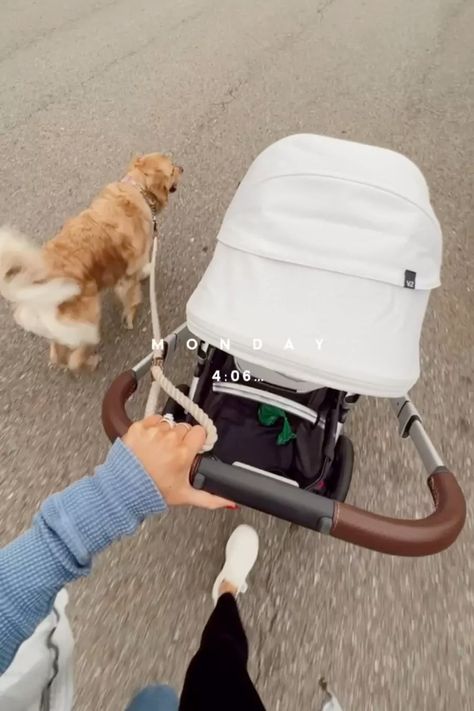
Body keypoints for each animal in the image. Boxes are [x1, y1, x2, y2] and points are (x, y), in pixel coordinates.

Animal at [0, 154, 182, 372]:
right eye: (172, 169)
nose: (182, 168)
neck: (137, 189)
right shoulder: (127, 276)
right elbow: (131, 297)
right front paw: (130, 315)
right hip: (90, 314)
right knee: (75, 359)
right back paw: (92, 361)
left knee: (57, 355)